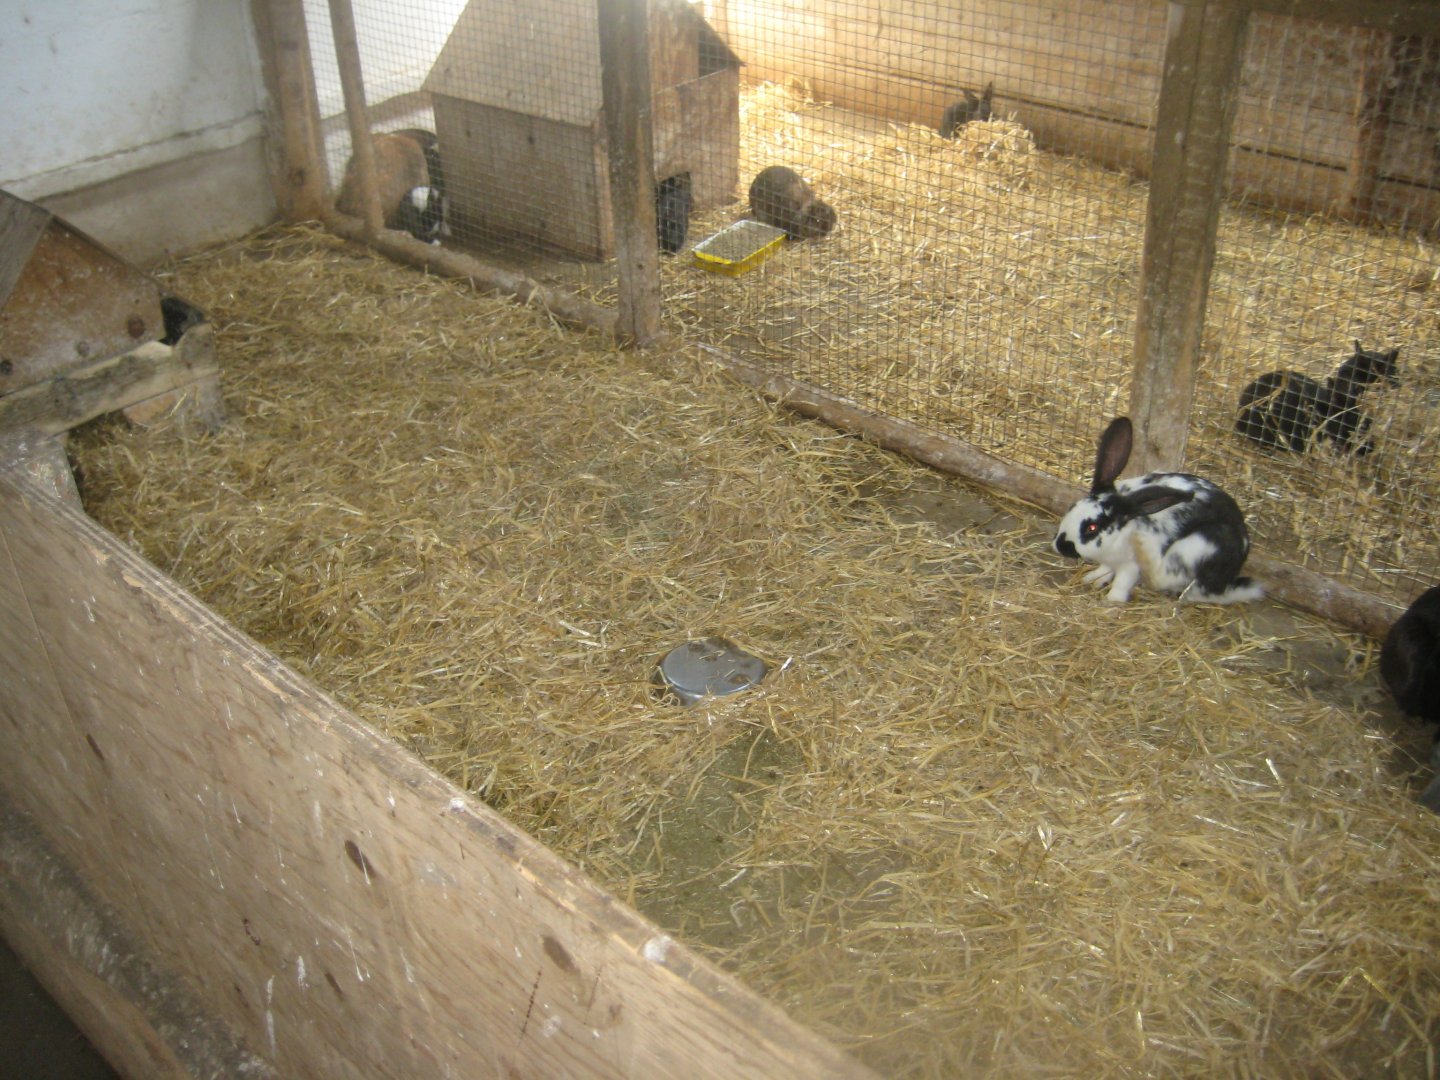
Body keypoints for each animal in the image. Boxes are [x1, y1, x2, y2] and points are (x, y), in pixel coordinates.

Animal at [1053, 416, 1263, 604]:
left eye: (1092, 528)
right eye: (1071, 507)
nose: (1059, 545)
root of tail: (1225, 584)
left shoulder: (1130, 566)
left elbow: (1122, 582)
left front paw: (1112, 601)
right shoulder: (1109, 560)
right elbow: (1105, 569)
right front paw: (1092, 579)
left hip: (1198, 546)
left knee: (1171, 583)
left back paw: (1144, 546)